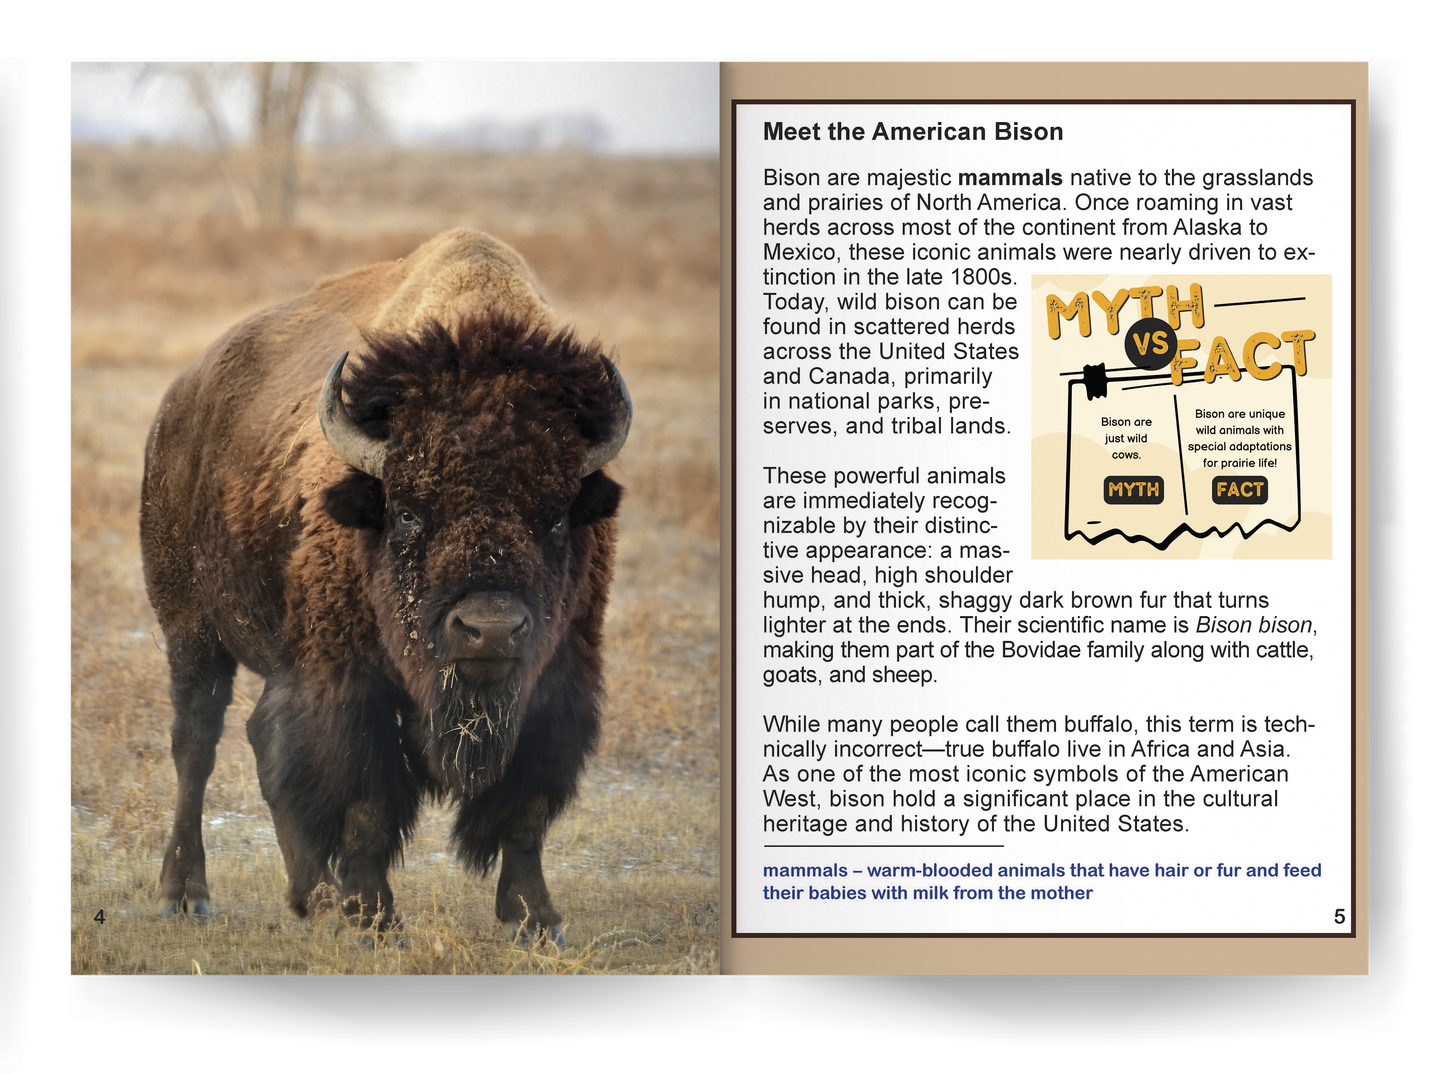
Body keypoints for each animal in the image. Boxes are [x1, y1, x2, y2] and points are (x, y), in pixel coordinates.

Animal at [141, 229, 630, 943]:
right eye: (406, 512)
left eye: (558, 516)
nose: (490, 629)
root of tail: (181, 401)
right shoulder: (353, 685)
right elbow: (366, 804)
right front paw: (375, 919)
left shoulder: (557, 682)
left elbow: (527, 809)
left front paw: (534, 921)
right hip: (191, 628)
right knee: (196, 746)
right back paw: (185, 895)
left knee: (261, 740)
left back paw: (312, 897)